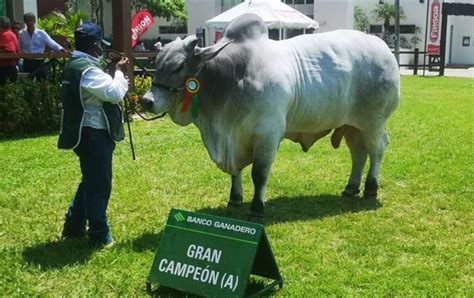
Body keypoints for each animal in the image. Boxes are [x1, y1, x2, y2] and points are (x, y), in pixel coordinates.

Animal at [141, 12, 400, 220]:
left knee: (377, 150)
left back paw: (370, 189)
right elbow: (236, 172)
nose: (146, 101)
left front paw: (257, 208)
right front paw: (235, 199)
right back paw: (351, 188)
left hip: (374, 122)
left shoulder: (267, 135)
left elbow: (259, 174)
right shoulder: (235, 139)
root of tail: (384, 49)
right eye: (157, 61)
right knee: (358, 153)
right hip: (353, 126)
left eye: (178, 66)